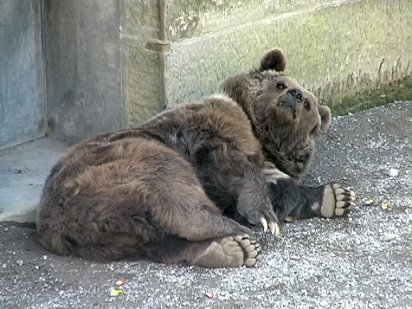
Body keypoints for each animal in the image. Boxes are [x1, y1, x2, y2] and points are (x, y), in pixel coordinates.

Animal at [37, 47, 356, 268]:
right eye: (280, 83)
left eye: (308, 104)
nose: (294, 94)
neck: (261, 134)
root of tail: (59, 222)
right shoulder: (212, 128)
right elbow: (232, 166)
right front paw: (265, 217)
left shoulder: (267, 160)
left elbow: (281, 186)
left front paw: (336, 196)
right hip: (120, 161)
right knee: (172, 186)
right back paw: (237, 233)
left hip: (115, 233)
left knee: (159, 243)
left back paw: (230, 249)